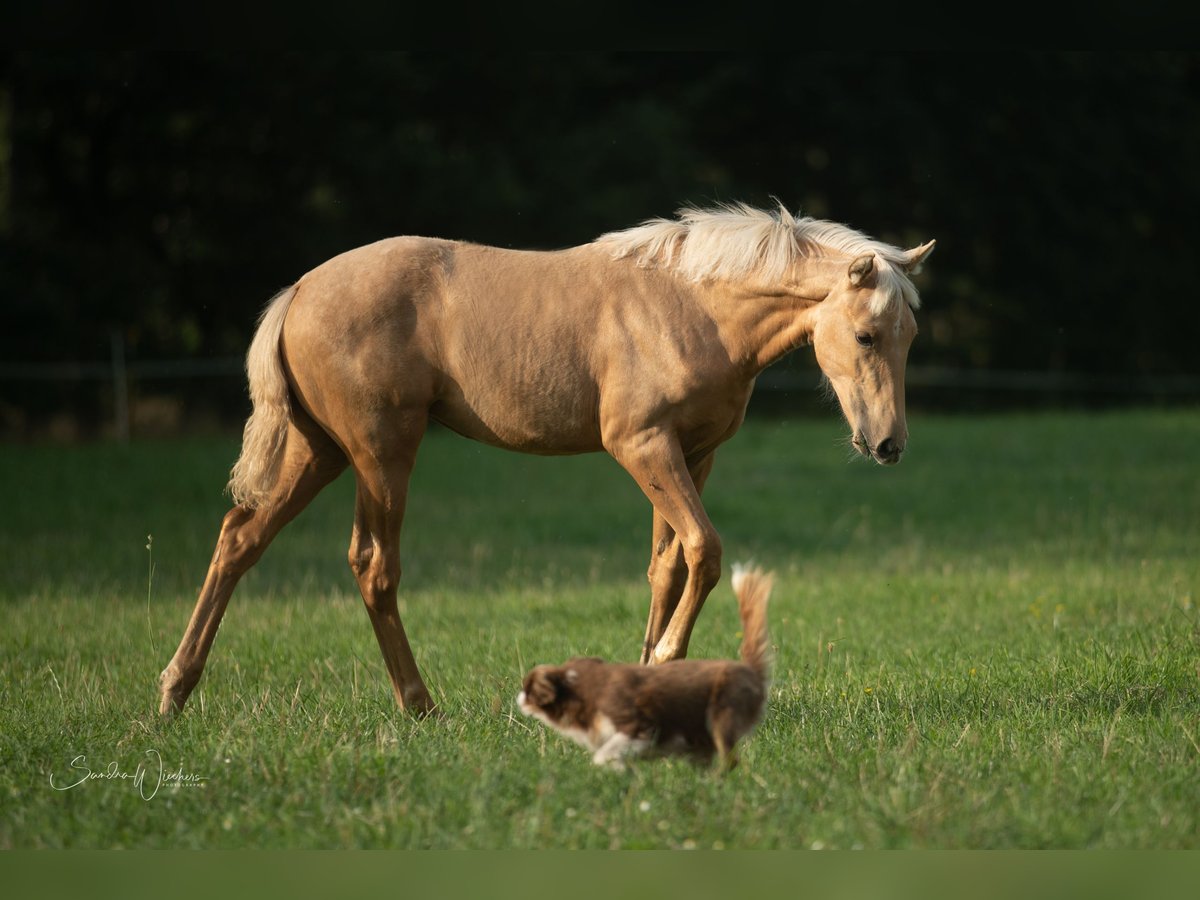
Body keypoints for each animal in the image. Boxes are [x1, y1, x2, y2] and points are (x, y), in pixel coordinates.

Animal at [154, 204, 931, 720]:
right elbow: (706, 552)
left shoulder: (692, 455)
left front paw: (643, 683)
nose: (888, 444)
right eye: (866, 335)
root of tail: (300, 291)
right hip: (381, 454)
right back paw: (420, 706)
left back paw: (173, 693)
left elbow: (668, 564)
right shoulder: (642, 446)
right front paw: (664, 658)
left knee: (240, 540)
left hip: (318, 452)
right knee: (372, 566)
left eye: (909, 337)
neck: (691, 305)